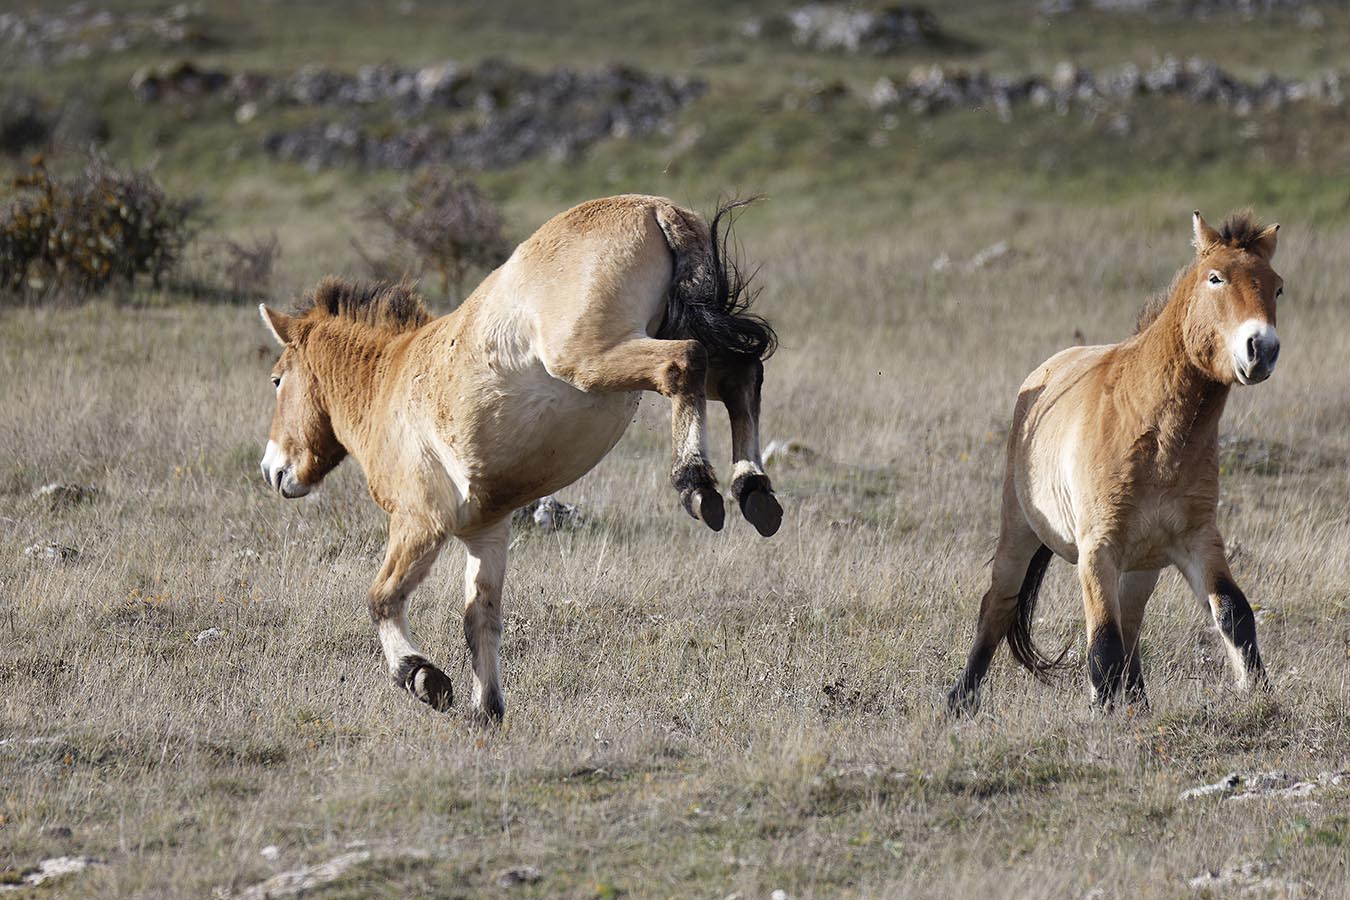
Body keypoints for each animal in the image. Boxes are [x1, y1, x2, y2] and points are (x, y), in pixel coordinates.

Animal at [256, 195, 782, 721]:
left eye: (278, 379)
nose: (272, 470)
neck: (391, 380)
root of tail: (655, 208)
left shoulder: (419, 522)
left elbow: (381, 599)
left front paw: (421, 676)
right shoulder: (485, 534)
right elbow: (479, 619)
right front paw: (487, 710)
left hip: (597, 357)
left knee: (683, 363)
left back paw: (696, 483)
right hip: (672, 332)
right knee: (741, 374)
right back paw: (753, 491)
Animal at [948, 210, 1283, 712]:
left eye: (1277, 287)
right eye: (1215, 277)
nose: (1261, 349)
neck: (1155, 435)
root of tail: (1042, 375)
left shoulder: (1198, 539)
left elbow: (1232, 612)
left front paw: (1259, 695)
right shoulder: (1097, 550)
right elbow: (1102, 640)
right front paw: (1100, 714)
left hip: (1142, 566)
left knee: (1131, 626)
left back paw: (1140, 706)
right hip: (1020, 531)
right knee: (999, 606)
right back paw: (961, 699)